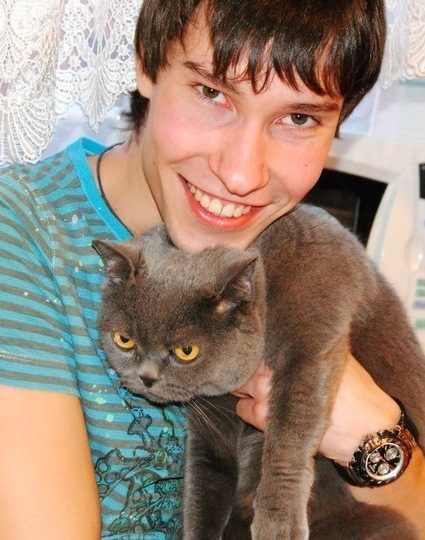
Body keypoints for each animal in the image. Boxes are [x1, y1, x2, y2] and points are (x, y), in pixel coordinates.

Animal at [93, 204, 425, 540]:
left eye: (186, 352)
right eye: (124, 340)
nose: (146, 377)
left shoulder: (313, 342)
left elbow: (290, 430)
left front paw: (278, 524)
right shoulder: (212, 421)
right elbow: (203, 483)